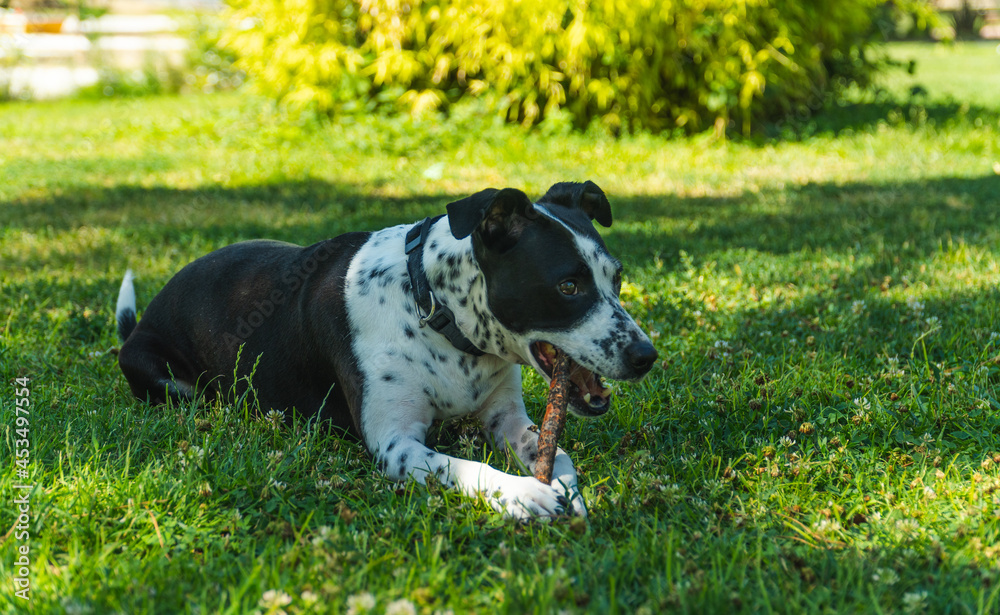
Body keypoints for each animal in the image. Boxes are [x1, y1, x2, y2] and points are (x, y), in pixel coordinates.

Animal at [115, 183, 656, 520]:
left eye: (617, 278)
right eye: (568, 286)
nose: (647, 356)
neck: (436, 310)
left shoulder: (506, 418)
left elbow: (555, 452)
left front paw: (567, 489)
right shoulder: (395, 442)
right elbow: (465, 467)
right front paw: (522, 493)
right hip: (165, 377)